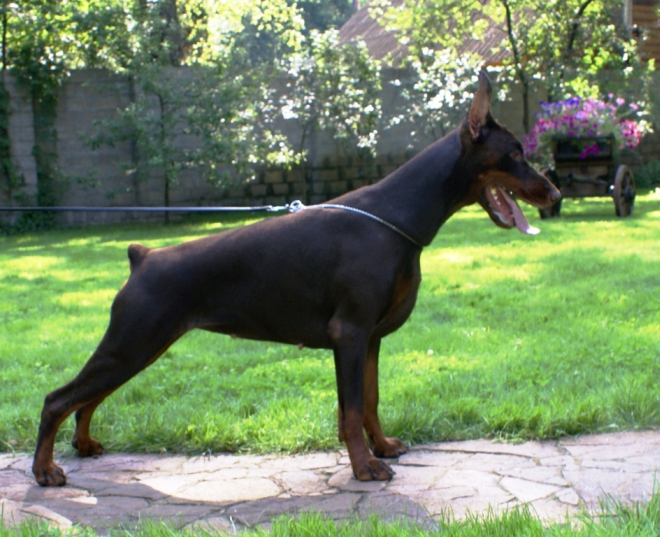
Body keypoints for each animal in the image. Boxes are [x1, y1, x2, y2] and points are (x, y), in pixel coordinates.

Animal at [32, 71, 561, 486]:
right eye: (516, 153)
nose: (554, 195)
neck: (396, 217)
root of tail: (142, 257)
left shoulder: (370, 338)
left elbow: (370, 401)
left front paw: (382, 446)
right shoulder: (348, 333)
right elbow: (351, 410)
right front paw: (365, 468)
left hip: (141, 346)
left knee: (88, 398)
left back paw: (83, 446)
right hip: (134, 340)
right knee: (58, 398)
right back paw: (45, 471)